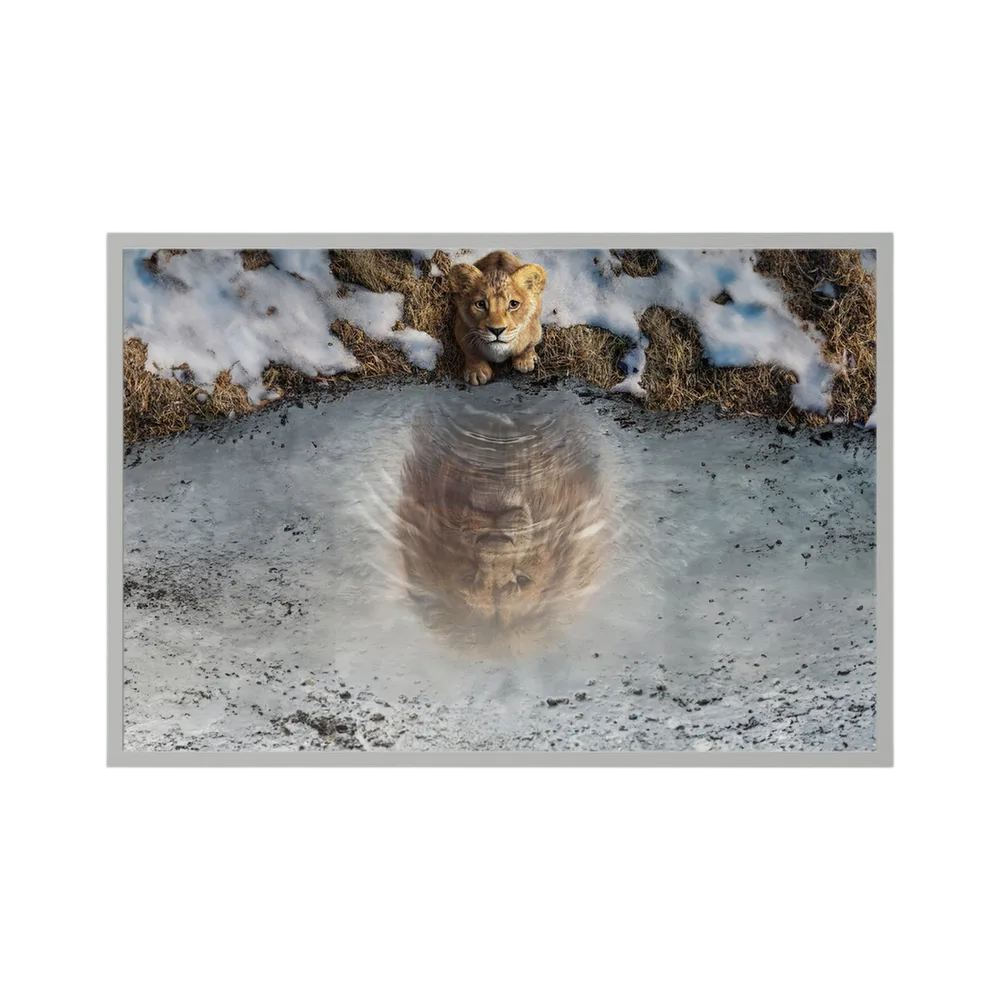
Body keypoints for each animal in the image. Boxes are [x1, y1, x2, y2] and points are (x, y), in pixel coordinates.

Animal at [448, 250, 547, 385]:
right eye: (480, 304)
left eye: (513, 304)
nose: (497, 330)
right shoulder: (461, 329)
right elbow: (471, 352)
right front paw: (476, 372)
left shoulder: (535, 328)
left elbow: (529, 345)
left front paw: (525, 360)